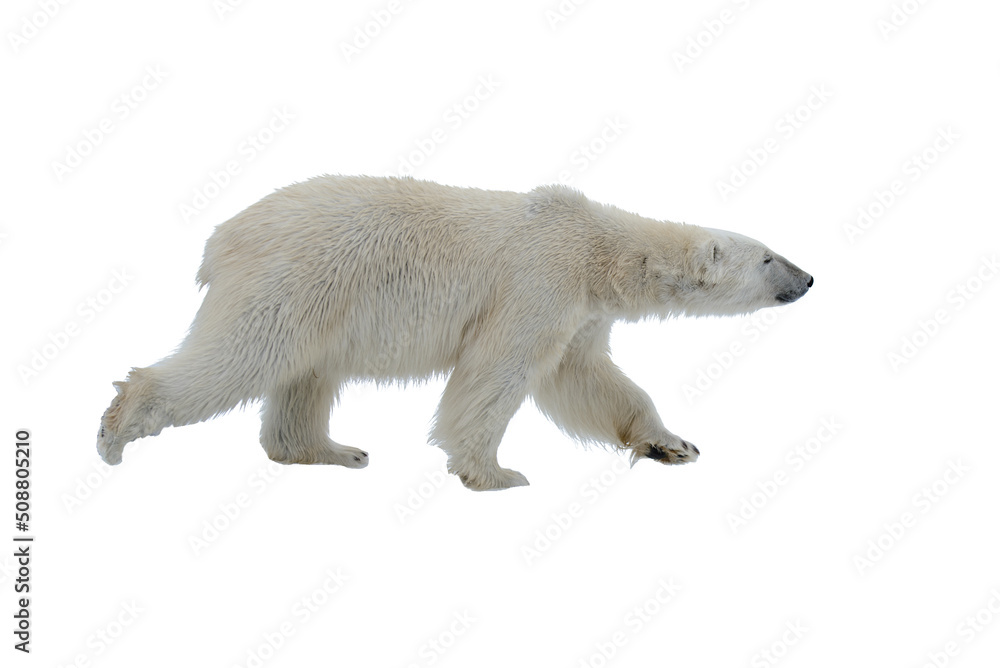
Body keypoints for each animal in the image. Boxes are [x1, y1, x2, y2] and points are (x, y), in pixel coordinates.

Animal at [96, 175, 812, 491]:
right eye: (768, 257)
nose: (807, 278)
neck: (597, 248)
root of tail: (220, 238)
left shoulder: (582, 312)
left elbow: (585, 380)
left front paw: (672, 445)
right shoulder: (539, 280)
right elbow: (498, 371)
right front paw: (496, 473)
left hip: (323, 303)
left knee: (306, 375)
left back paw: (333, 451)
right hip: (294, 278)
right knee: (243, 355)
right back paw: (117, 428)